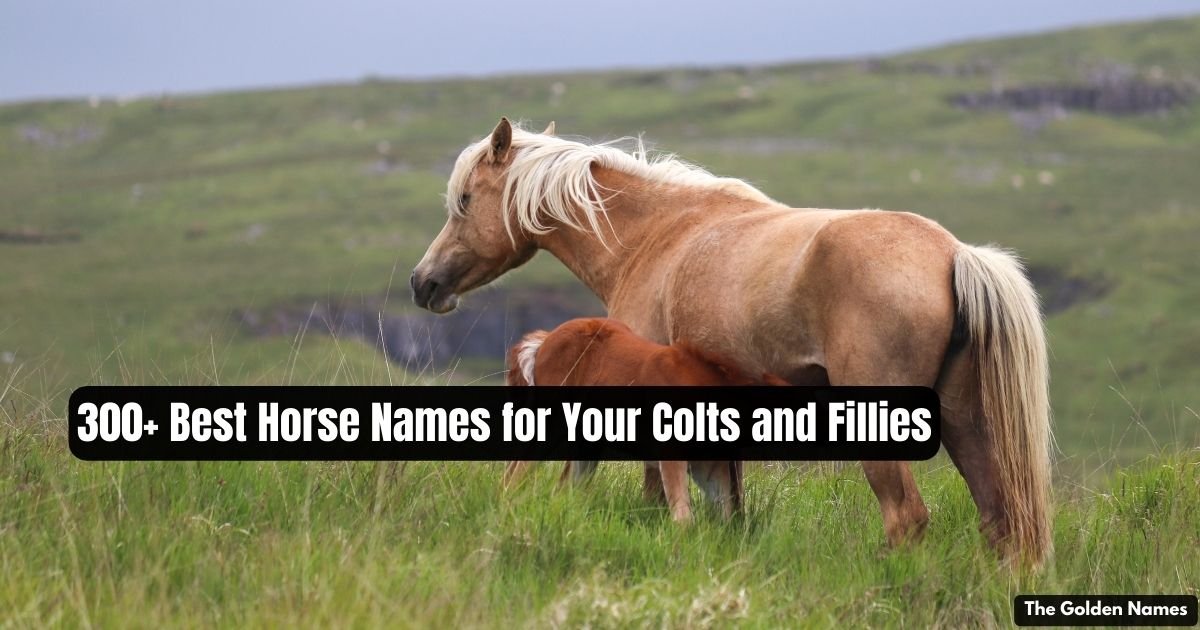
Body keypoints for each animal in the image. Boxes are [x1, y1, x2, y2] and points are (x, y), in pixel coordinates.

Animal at [502, 317, 788, 521]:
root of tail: (545, 339)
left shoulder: (708, 465)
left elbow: (724, 512)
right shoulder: (671, 453)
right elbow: (683, 514)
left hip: (587, 445)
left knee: (562, 488)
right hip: (552, 424)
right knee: (516, 474)